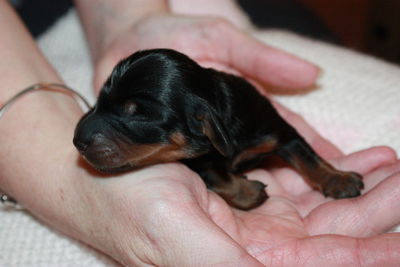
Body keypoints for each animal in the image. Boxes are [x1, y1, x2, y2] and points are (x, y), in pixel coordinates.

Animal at [73, 49, 364, 210]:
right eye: (99, 100)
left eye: (136, 113)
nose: (77, 141)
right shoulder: (201, 162)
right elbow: (218, 176)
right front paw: (249, 192)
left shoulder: (278, 132)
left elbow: (308, 158)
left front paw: (339, 180)